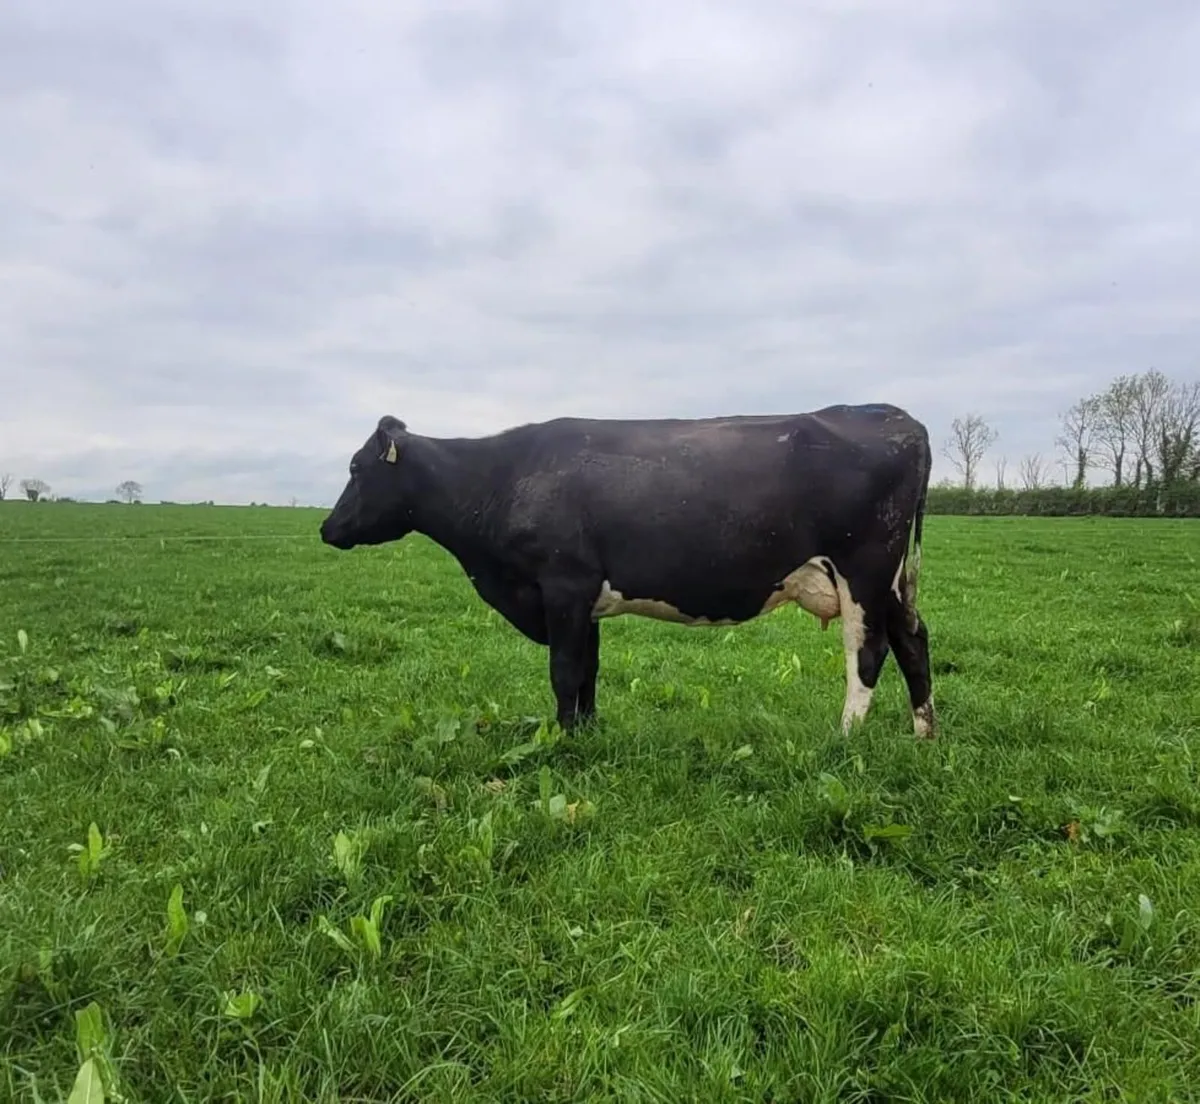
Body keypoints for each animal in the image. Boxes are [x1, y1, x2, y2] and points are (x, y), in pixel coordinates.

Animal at [319, 403, 936, 739]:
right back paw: (924, 733)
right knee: (913, 639)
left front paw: (564, 740)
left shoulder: (562, 585)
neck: (502, 476)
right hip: (892, 580)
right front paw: (589, 732)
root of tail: (895, 417)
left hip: (863, 571)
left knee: (869, 653)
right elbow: (588, 671)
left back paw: (845, 737)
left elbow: (564, 671)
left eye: (355, 467)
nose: (326, 528)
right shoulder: (582, 598)